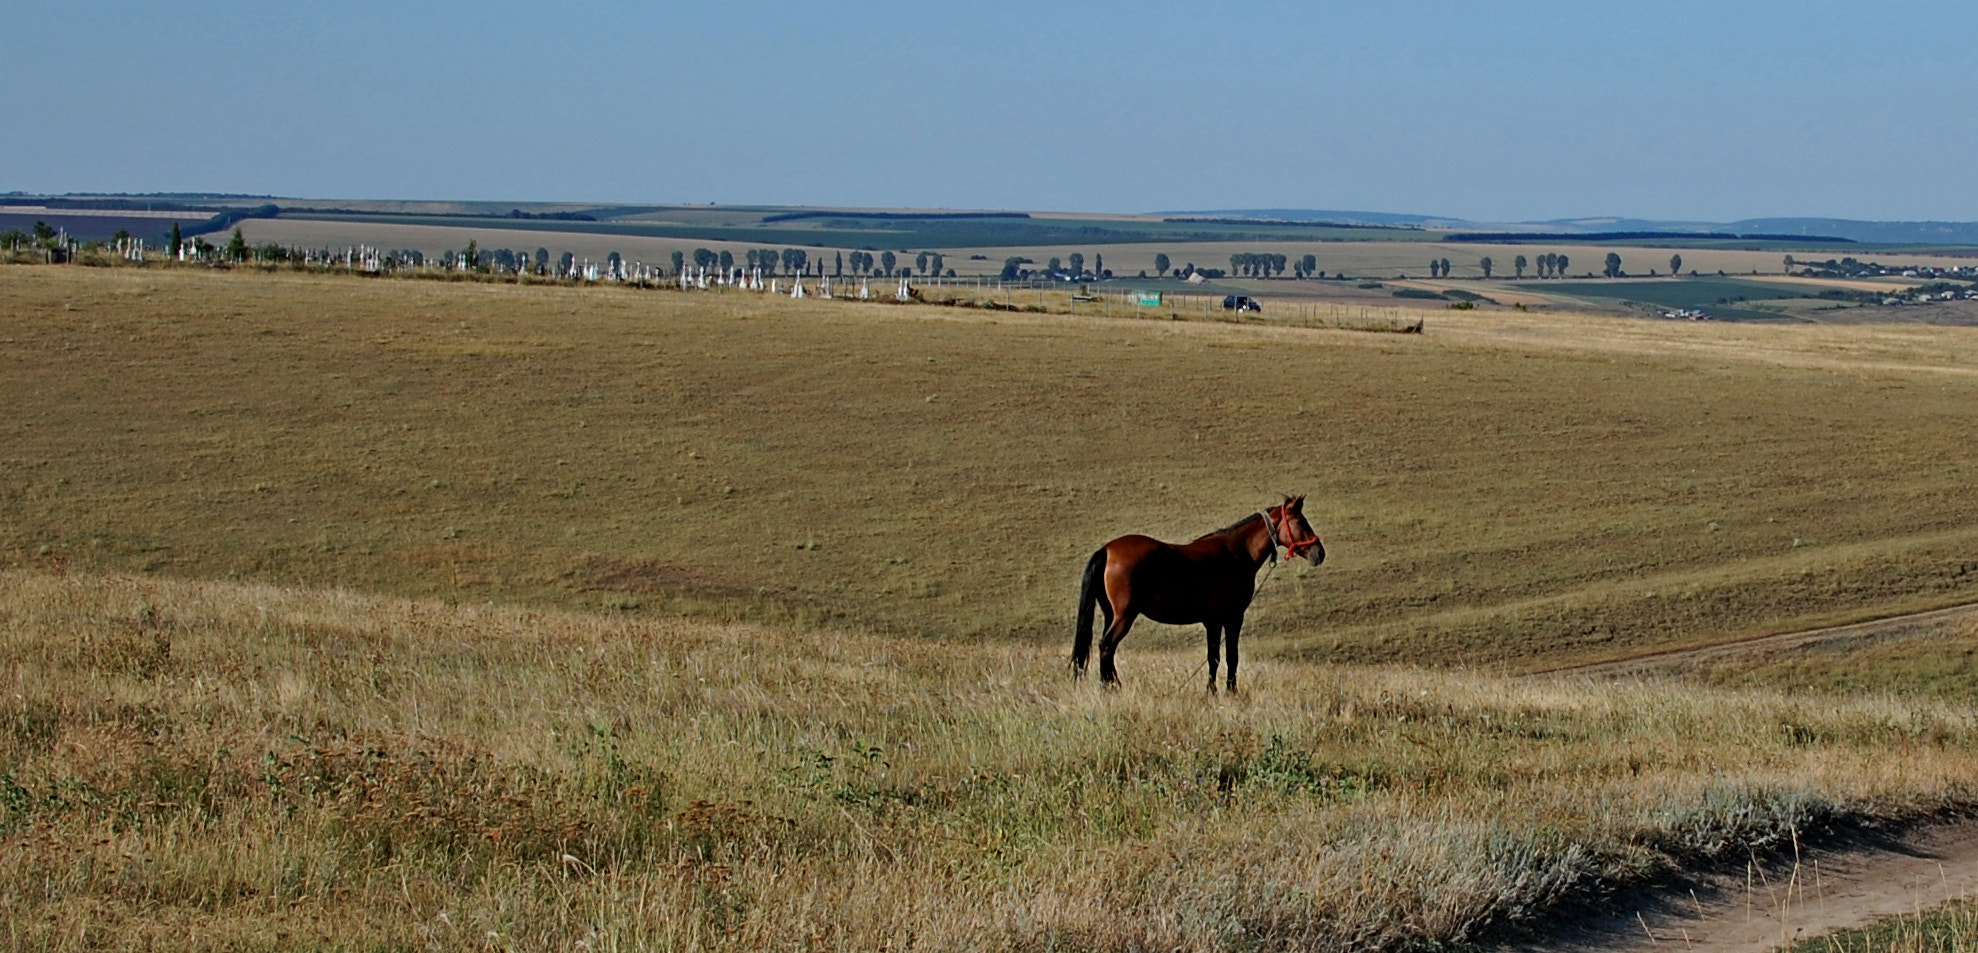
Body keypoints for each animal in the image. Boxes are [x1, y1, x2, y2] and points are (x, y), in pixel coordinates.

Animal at [1076, 498, 1321, 692]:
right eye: (1301, 522)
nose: (1320, 553)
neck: (1236, 554)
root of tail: (1107, 550)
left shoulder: (1212, 621)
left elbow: (1213, 658)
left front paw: (1211, 692)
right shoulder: (1232, 619)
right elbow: (1231, 657)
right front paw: (1231, 692)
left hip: (1111, 614)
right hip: (1124, 616)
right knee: (1107, 646)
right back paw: (1109, 688)